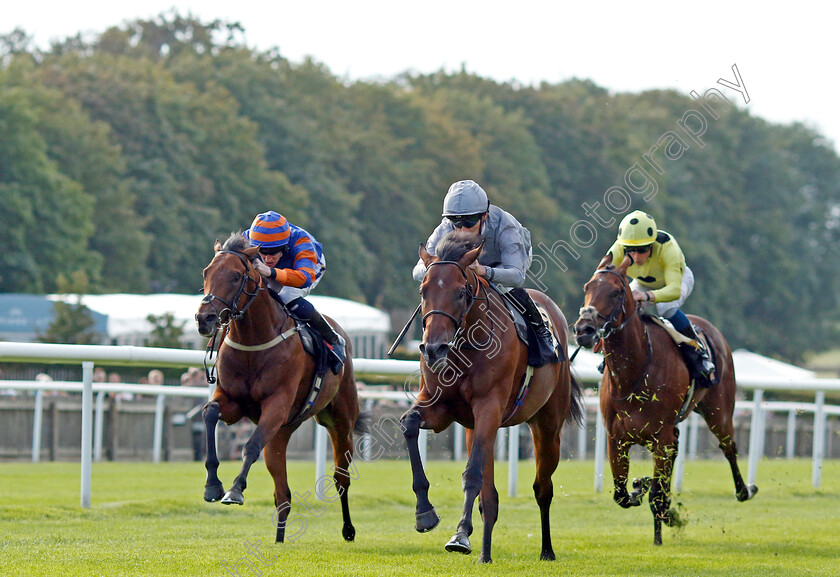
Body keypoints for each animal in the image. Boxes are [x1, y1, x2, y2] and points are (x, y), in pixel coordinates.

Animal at [197, 232, 368, 544]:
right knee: (283, 495)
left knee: (341, 478)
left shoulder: (277, 405)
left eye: (236, 275)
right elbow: (210, 413)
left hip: (340, 421)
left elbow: (251, 445)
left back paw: (348, 529)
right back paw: (279, 539)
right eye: (207, 272)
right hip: (281, 433)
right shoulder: (233, 401)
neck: (254, 342)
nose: (204, 318)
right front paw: (213, 486)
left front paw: (235, 490)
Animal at [402, 231, 584, 564]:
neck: (464, 347)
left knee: (543, 488)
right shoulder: (440, 407)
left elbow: (472, 474)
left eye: (461, 292)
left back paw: (546, 550)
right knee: (490, 497)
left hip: (547, 424)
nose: (433, 349)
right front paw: (426, 514)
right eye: (423, 290)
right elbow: (409, 423)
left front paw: (459, 536)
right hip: (475, 428)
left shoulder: (489, 408)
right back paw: (478, 545)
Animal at [572, 256, 756, 544]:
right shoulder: (617, 439)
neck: (634, 374)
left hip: (719, 411)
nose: (583, 329)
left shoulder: (661, 437)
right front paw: (641, 487)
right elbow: (621, 494)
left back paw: (743, 490)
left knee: (729, 447)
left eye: (616, 291)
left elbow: (656, 493)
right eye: (587, 287)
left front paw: (660, 517)